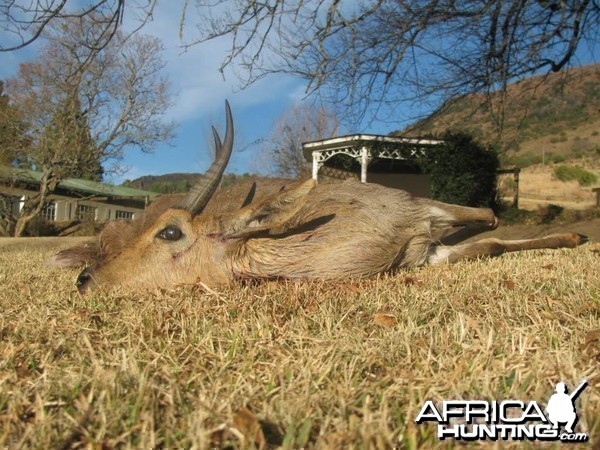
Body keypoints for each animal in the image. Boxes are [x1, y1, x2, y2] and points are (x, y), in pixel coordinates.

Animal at [50, 100, 584, 294]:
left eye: (171, 232)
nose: (85, 278)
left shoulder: (420, 213)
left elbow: (489, 219)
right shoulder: (426, 253)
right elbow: (488, 243)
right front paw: (568, 237)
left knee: (487, 214)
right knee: (487, 231)